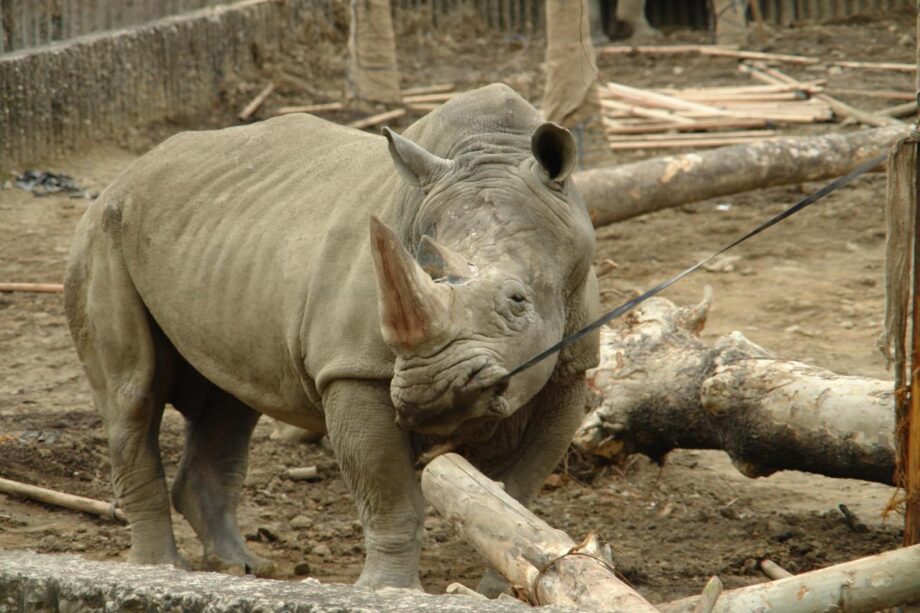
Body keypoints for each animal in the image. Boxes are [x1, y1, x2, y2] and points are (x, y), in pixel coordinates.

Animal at [64, 83, 599, 591]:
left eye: (517, 301)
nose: (433, 393)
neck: (496, 148)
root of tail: (129, 172)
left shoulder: (570, 370)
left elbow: (517, 493)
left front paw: (507, 586)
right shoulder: (353, 368)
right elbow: (388, 493)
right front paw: (388, 591)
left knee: (229, 400)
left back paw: (243, 567)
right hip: (103, 233)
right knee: (134, 395)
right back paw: (160, 569)